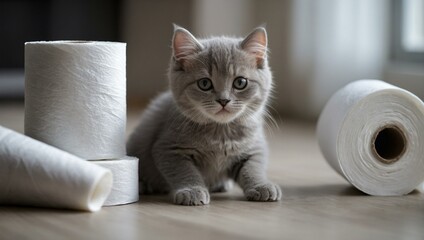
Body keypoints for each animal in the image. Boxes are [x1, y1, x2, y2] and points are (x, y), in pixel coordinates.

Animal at [127, 25, 284, 205]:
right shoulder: (168, 149)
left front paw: (261, 185)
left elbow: (253, 167)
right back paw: (143, 184)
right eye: (204, 83)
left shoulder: (254, 147)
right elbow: (184, 171)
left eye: (240, 82)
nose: (223, 100)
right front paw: (192, 190)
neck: (221, 134)